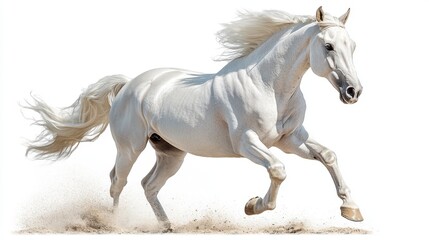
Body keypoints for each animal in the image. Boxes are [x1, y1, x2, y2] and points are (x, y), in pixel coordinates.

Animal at [25, 7, 362, 231]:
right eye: (328, 45)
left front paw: (351, 209)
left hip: (171, 153)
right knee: (117, 182)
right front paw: (253, 206)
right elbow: (278, 171)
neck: (268, 85)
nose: (353, 91)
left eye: (353, 46)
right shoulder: (247, 143)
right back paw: (115, 224)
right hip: (130, 148)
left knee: (149, 185)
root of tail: (130, 84)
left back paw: (166, 226)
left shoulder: (290, 138)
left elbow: (328, 155)